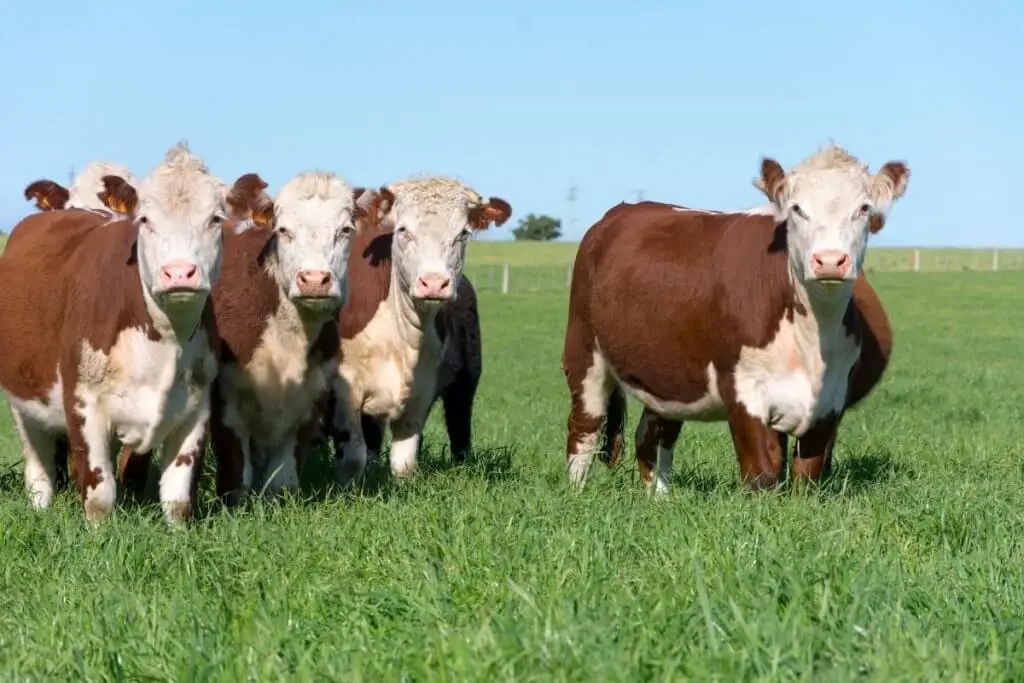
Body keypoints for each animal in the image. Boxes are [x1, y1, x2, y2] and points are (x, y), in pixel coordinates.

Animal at [565, 144, 909, 493]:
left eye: (863, 208)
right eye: (797, 209)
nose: (829, 260)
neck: (813, 336)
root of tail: (620, 213)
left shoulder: (831, 400)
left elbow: (807, 476)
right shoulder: (743, 389)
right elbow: (762, 472)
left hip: (665, 374)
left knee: (654, 435)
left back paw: (659, 497)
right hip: (584, 352)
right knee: (585, 429)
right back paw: (576, 493)